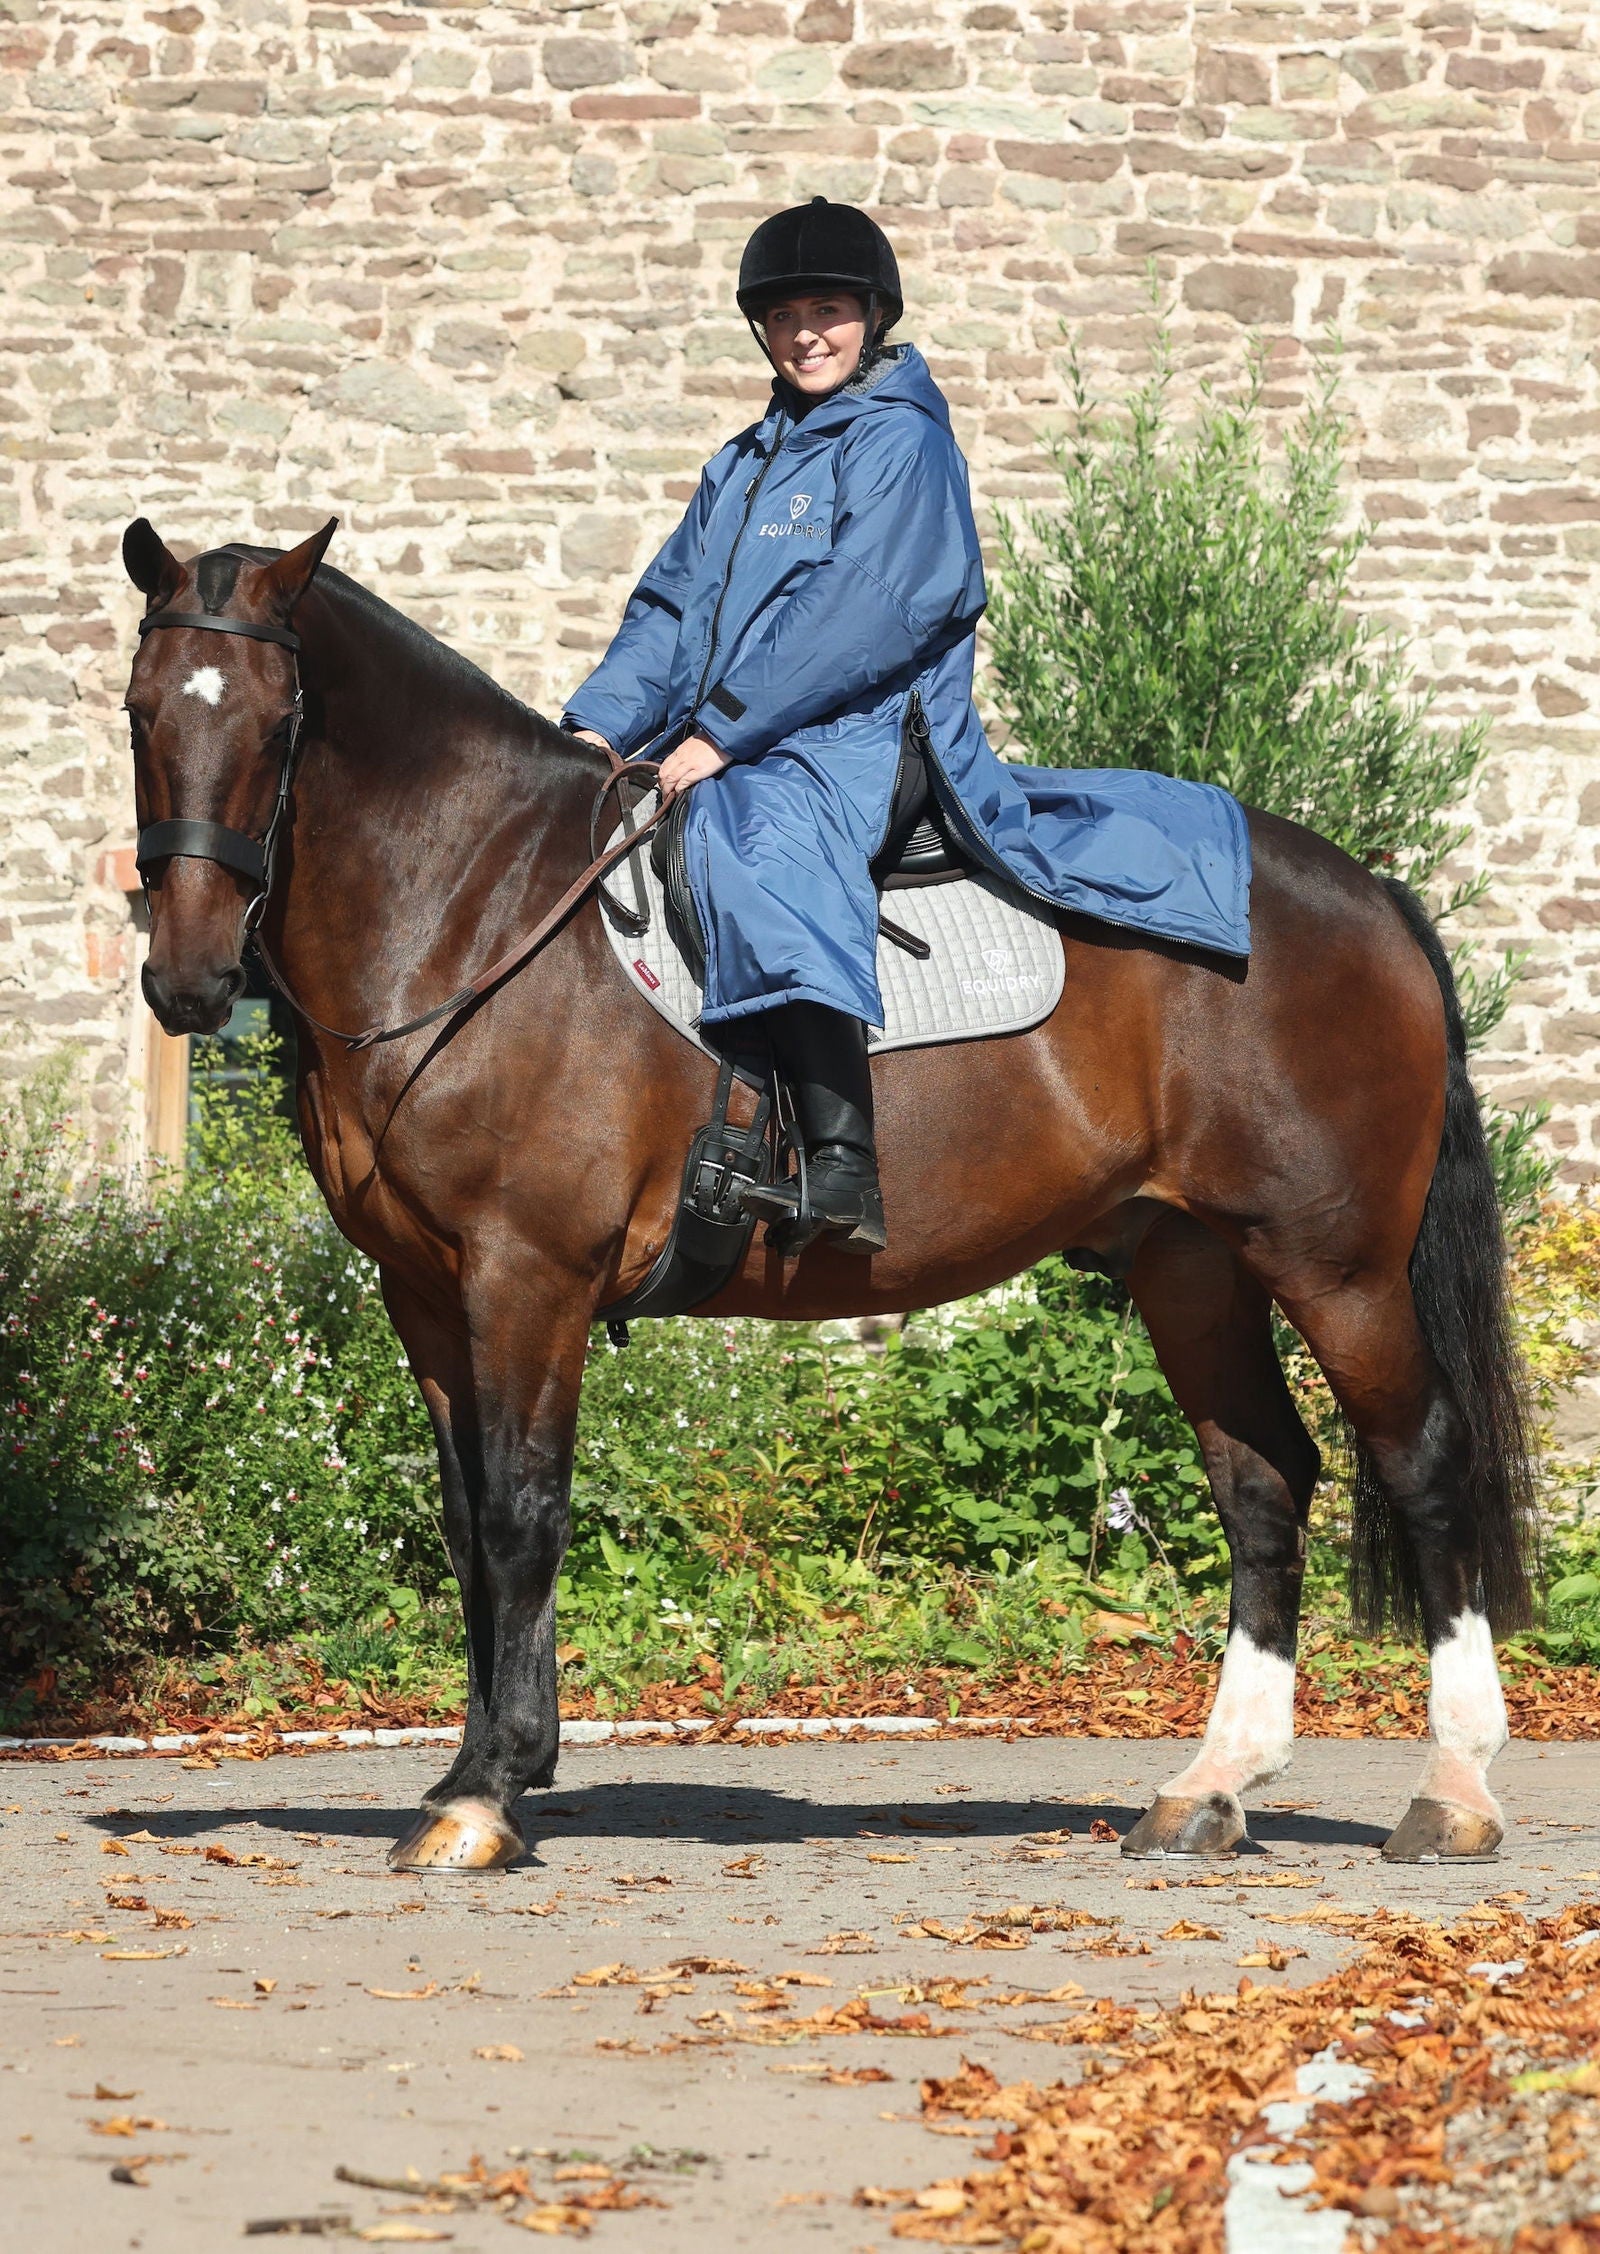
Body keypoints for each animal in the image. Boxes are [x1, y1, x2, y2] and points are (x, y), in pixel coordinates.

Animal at [120, 518, 1536, 1874]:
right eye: (141, 711)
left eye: (278, 723)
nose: (190, 980)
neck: (482, 911)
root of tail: (1366, 897)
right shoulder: (422, 1291)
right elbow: (470, 1523)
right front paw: (480, 1768)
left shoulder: (528, 1276)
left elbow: (524, 1513)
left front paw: (488, 1791)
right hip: (1191, 1267)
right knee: (1261, 1486)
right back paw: (1210, 1786)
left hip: (1335, 1266)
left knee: (1424, 1463)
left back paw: (1455, 1787)